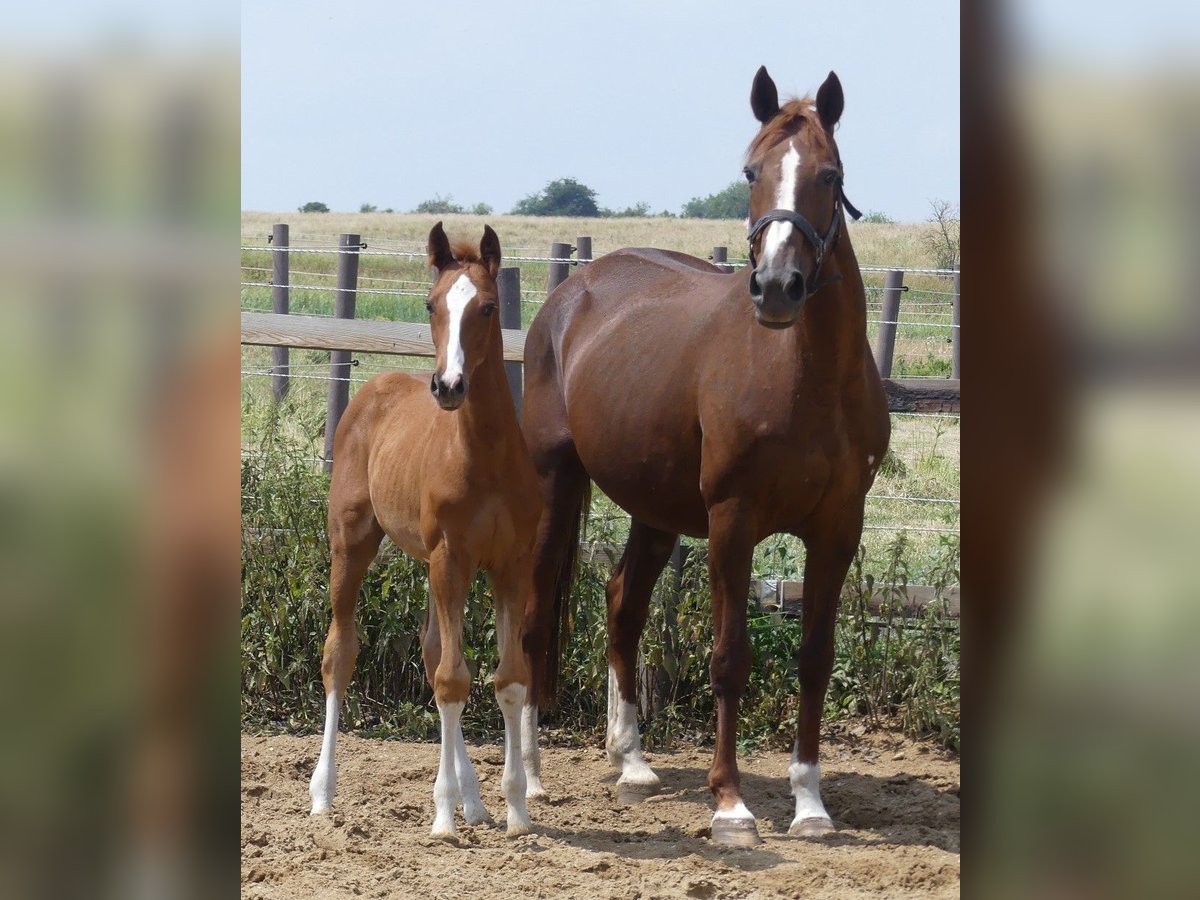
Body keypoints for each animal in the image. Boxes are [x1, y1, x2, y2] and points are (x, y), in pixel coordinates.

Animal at [307, 224, 542, 840]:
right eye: (431, 305)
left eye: (488, 306)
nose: (449, 385)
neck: (484, 456)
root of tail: (376, 387)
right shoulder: (451, 557)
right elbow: (452, 681)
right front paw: (442, 817)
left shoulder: (511, 564)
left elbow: (508, 678)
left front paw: (514, 809)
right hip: (352, 545)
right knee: (340, 654)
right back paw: (323, 792)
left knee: (434, 647)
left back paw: (474, 800)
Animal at [520, 68, 888, 844]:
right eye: (750, 172)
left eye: (830, 175)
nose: (776, 288)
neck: (806, 374)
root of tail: (571, 295)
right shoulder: (732, 520)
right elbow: (729, 659)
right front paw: (731, 805)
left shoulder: (838, 527)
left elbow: (815, 659)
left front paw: (810, 803)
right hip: (556, 487)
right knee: (535, 618)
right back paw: (530, 778)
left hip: (655, 511)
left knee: (622, 605)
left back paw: (632, 764)